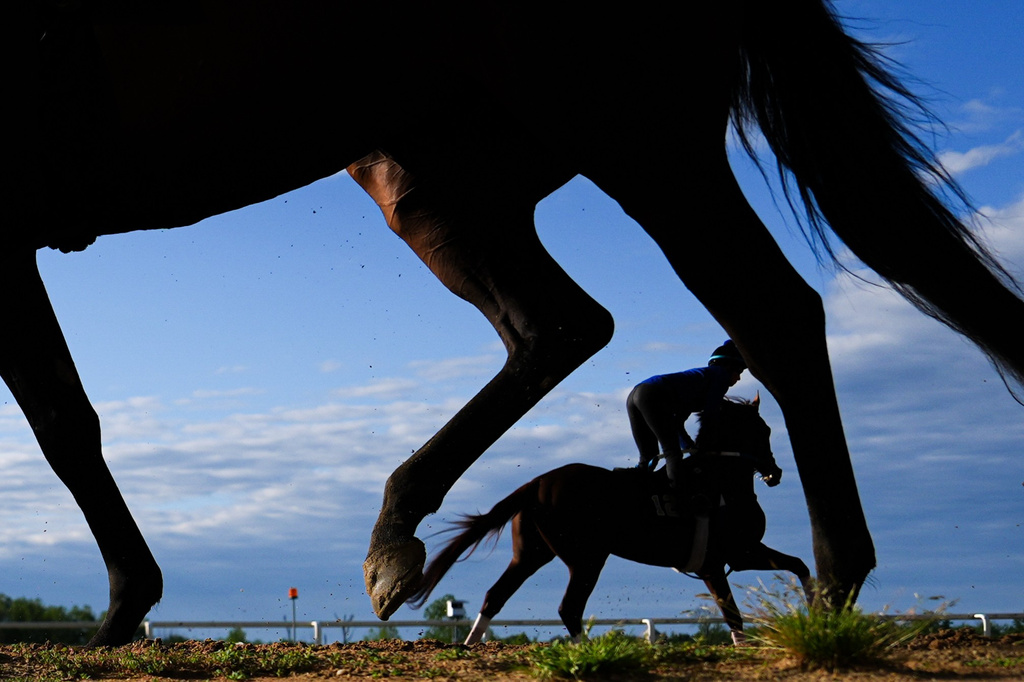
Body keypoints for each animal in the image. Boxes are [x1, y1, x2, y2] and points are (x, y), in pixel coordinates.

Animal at [410, 398, 811, 645]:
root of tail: (537, 482)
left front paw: (820, 606)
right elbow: (734, 613)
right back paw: (586, 649)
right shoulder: (726, 559)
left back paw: (469, 644)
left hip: (531, 554)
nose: (775, 473)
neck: (720, 481)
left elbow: (798, 566)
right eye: (765, 431)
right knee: (569, 607)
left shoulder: (737, 556)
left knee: (495, 596)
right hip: (587, 557)